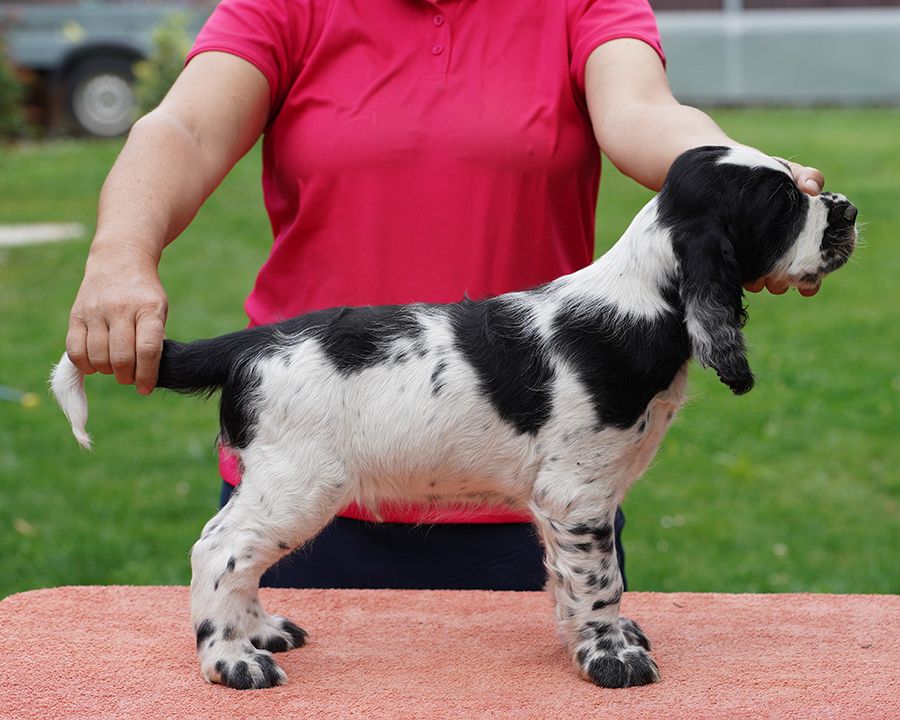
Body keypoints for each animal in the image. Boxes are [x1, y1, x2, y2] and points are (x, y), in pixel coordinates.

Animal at [49, 143, 856, 688]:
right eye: (784, 205)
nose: (845, 208)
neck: (640, 303)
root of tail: (250, 342)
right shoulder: (577, 493)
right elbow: (598, 581)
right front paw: (611, 656)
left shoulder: (571, 499)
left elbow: (572, 581)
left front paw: (595, 638)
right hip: (298, 482)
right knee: (217, 549)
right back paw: (231, 660)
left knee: (237, 556)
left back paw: (261, 633)